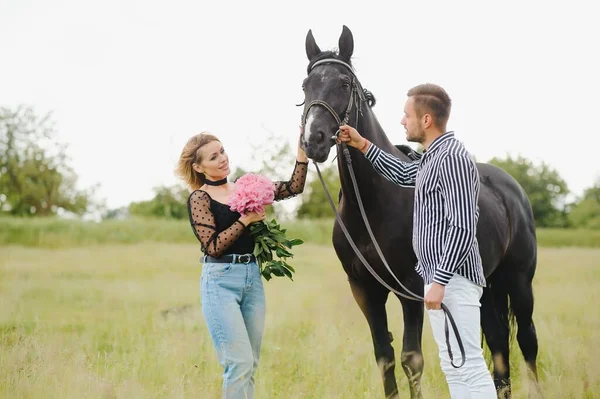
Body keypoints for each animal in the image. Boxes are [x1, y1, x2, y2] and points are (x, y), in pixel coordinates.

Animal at [298, 25, 540, 399]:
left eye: (344, 83)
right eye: (305, 86)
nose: (314, 140)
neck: (374, 206)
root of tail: (511, 189)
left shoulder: (411, 288)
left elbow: (412, 359)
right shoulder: (365, 290)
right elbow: (384, 356)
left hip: (519, 281)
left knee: (526, 340)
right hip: (486, 287)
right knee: (499, 342)